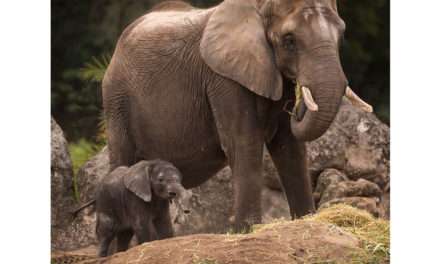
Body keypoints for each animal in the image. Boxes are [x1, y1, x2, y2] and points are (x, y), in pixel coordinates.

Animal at [103, 0, 372, 231]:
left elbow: (290, 148)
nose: (296, 107)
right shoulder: (224, 79)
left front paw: (307, 220)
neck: (259, 7)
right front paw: (248, 230)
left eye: (342, 35)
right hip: (116, 101)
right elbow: (244, 142)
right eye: (289, 40)